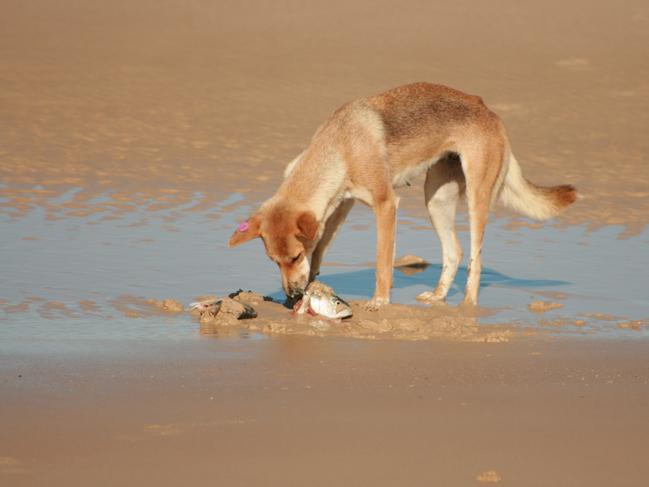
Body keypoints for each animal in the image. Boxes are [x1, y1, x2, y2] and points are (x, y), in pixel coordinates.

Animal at [229, 82, 576, 306]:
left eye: (294, 257)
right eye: (274, 261)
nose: (292, 296)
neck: (341, 144)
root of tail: (487, 109)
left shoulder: (385, 205)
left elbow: (383, 262)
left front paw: (380, 300)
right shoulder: (340, 206)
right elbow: (322, 248)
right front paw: (314, 287)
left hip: (476, 202)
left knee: (475, 261)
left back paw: (467, 306)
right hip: (436, 201)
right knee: (455, 252)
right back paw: (438, 296)